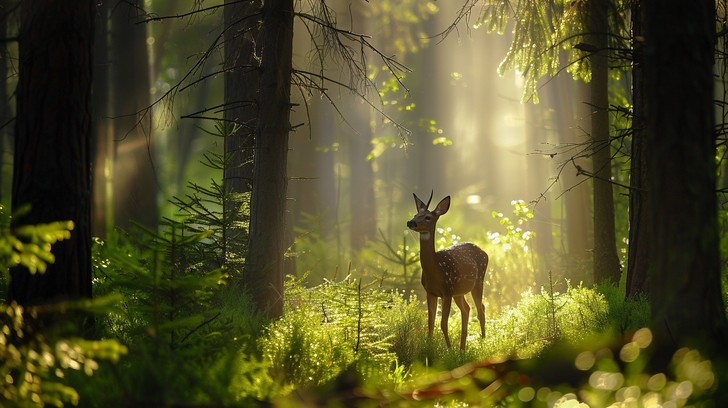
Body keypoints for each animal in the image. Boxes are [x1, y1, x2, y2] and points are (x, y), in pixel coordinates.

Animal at [407, 192, 489, 351]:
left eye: (428, 217)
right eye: (415, 214)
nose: (410, 222)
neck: (436, 270)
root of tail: (485, 252)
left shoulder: (447, 290)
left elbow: (443, 323)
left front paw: (449, 349)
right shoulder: (431, 292)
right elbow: (431, 322)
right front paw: (429, 347)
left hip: (478, 281)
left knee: (480, 309)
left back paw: (482, 342)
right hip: (459, 291)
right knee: (467, 309)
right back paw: (462, 349)